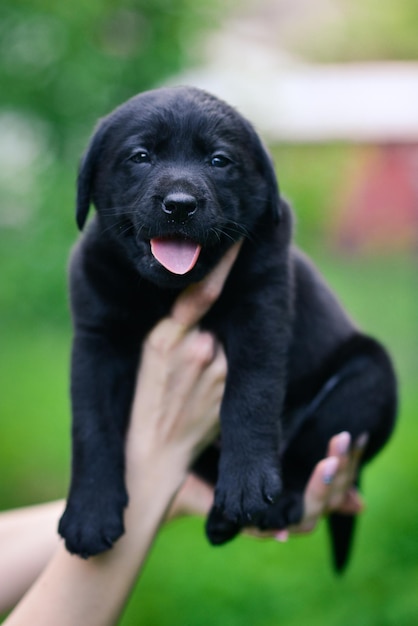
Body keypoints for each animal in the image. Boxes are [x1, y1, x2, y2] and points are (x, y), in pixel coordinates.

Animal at [58, 85, 396, 568]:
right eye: (140, 156)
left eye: (218, 160)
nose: (180, 205)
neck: (167, 291)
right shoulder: (96, 339)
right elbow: (91, 425)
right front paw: (88, 514)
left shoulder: (261, 307)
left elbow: (250, 395)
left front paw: (248, 483)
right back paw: (220, 521)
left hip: (368, 380)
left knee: (312, 447)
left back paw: (274, 502)